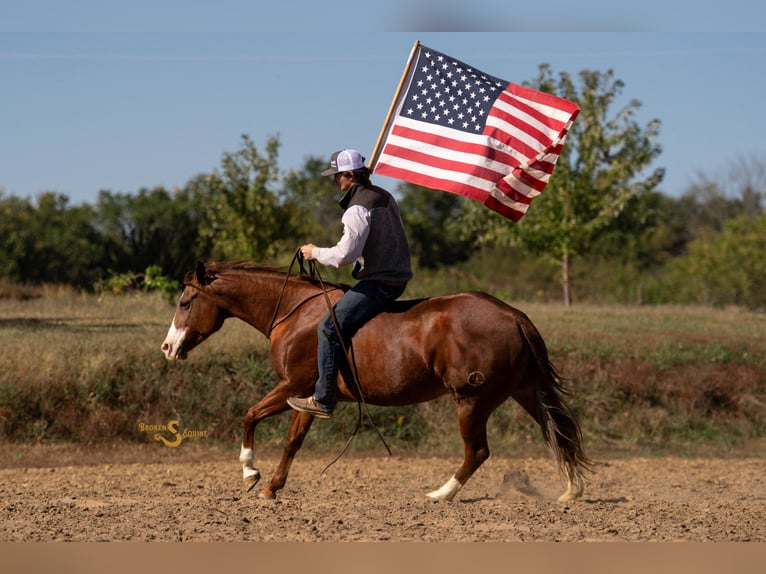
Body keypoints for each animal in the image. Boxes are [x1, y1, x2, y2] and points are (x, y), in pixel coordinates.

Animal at [161, 260, 592, 502]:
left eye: (185, 302)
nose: (167, 347)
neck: (294, 313)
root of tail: (513, 315)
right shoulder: (307, 396)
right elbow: (292, 442)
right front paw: (271, 488)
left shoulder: (291, 386)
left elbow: (250, 415)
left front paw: (250, 472)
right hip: (525, 392)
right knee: (558, 433)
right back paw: (571, 490)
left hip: (471, 401)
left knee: (478, 452)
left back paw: (440, 494)